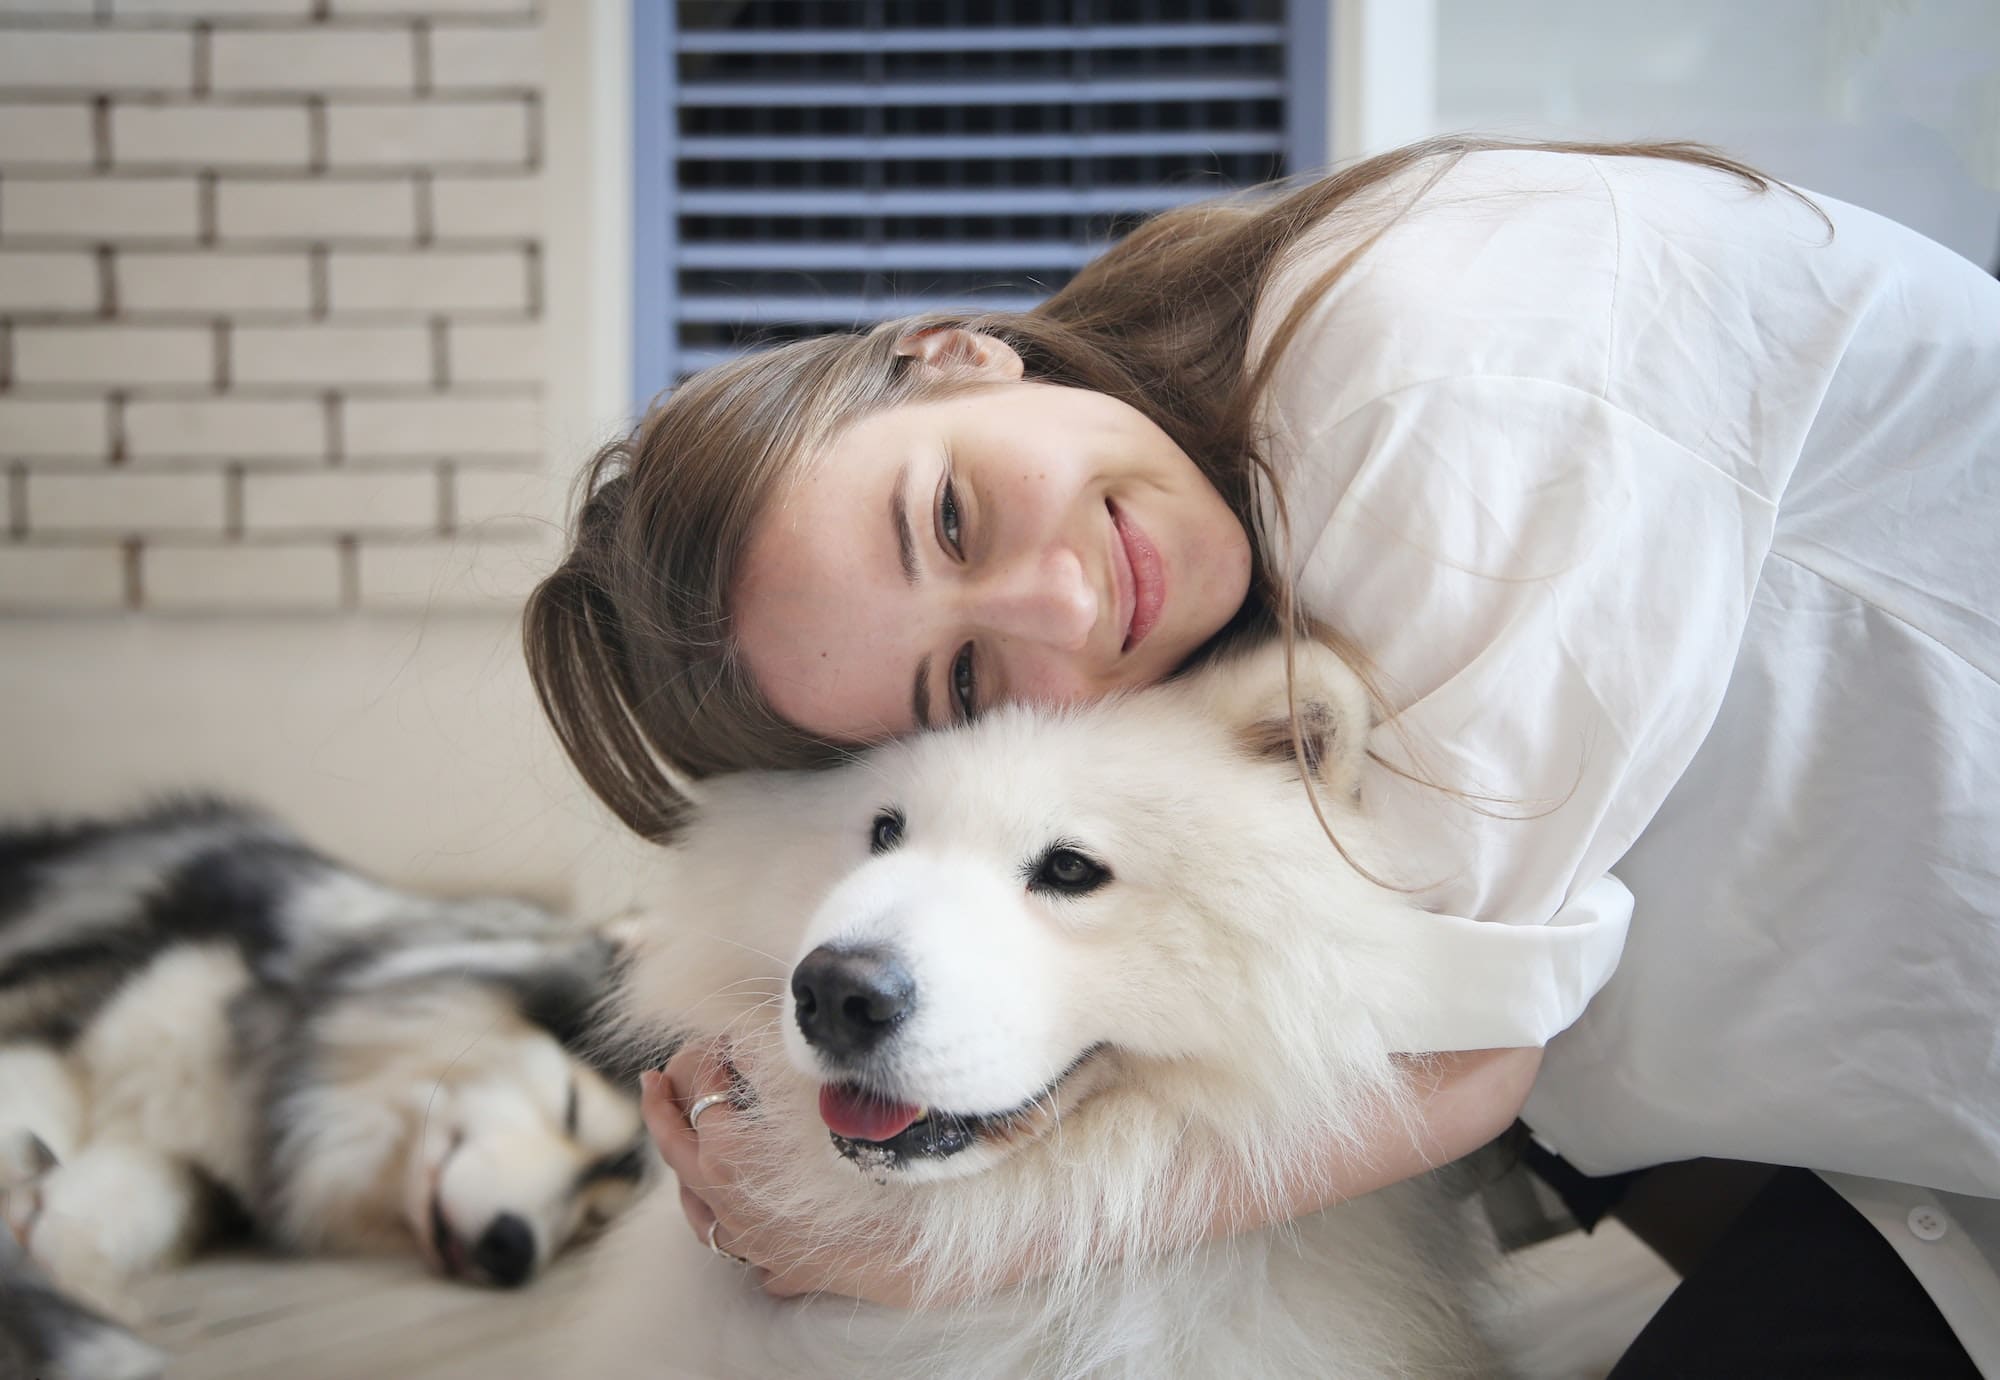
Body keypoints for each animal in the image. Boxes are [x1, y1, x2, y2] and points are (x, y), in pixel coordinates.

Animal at [0, 796, 644, 1368]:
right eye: (571, 1109)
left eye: (594, 1217)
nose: (513, 1251)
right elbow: (30, 1090)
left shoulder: (223, 1156)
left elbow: (159, 1185)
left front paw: (60, 1239)